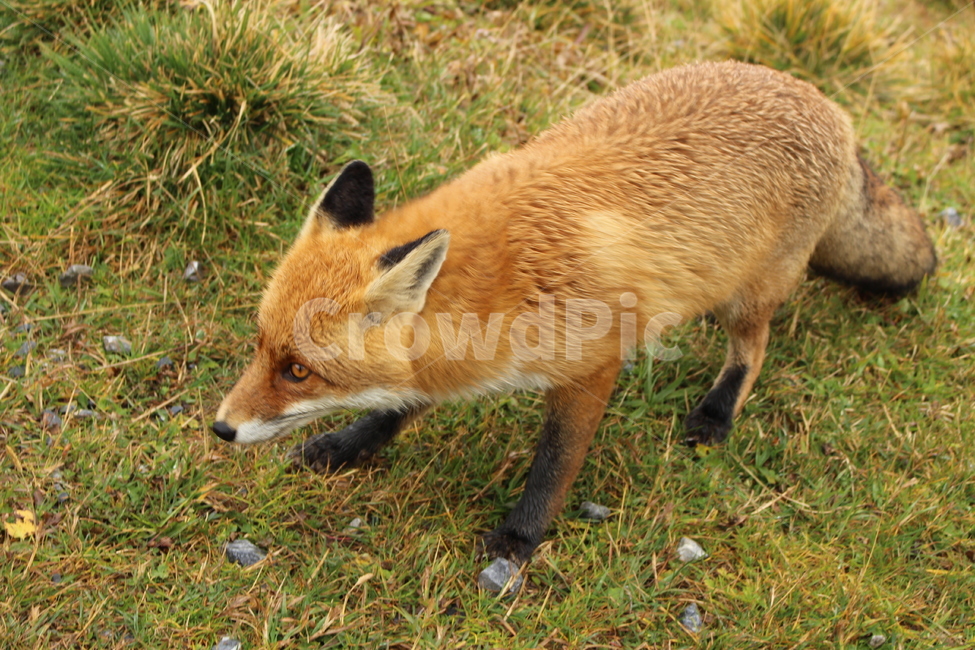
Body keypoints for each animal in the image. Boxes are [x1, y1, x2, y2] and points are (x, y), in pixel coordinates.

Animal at [212, 61, 936, 565]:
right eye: (260, 346)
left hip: (749, 296)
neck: (504, 280)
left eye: (299, 372)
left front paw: (518, 540)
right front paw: (346, 446)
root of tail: (829, 104)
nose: (220, 429)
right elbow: (399, 405)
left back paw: (715, 413)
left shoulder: (591, 366)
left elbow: (555, 466)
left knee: (752, 351)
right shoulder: (449, 361)